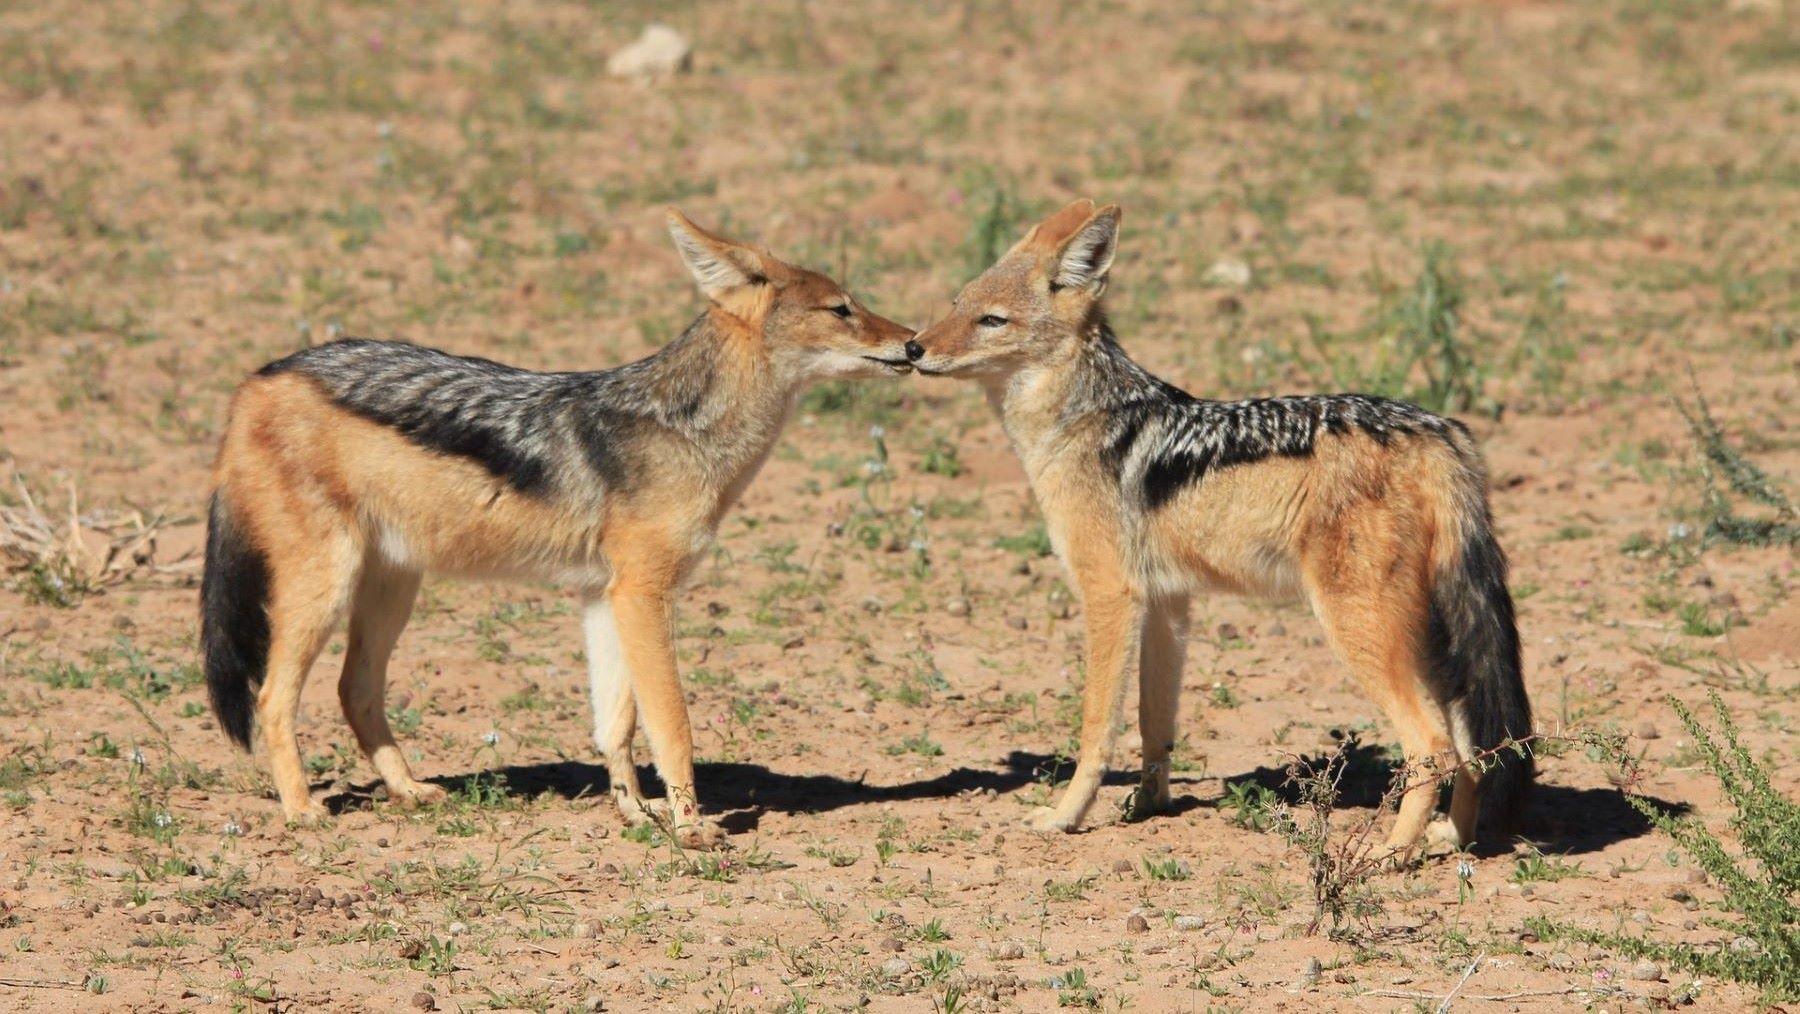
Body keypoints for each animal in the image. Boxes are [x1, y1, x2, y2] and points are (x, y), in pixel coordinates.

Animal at [201, 210, 916, 846]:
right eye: (841, 309)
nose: (912, 342)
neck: (689, 433)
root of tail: (256, 379)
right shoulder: (642, 595)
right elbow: (673, 726)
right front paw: (690, 828)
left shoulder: (604, 597)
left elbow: (615, 726)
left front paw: (637, 815)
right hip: (327, 589)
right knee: (272, 697)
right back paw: (301, 810)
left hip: (392, 590)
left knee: (353, 691)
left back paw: (408, 791)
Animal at [903, 200, 1532, 852]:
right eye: (956, 303)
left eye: (992, 321)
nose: (913, 348)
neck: (1079, 422)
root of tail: (1438, 431)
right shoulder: (1168, 605)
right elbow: (1154, 725)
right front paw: (1148, 808)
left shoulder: (1110, 597)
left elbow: (1097, 726)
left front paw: (1066, 815)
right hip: (1428, 639)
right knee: (1473, 744)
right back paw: (1451, 840)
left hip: (1358, 630)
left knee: (1431, 744)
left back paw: (1392, 853)